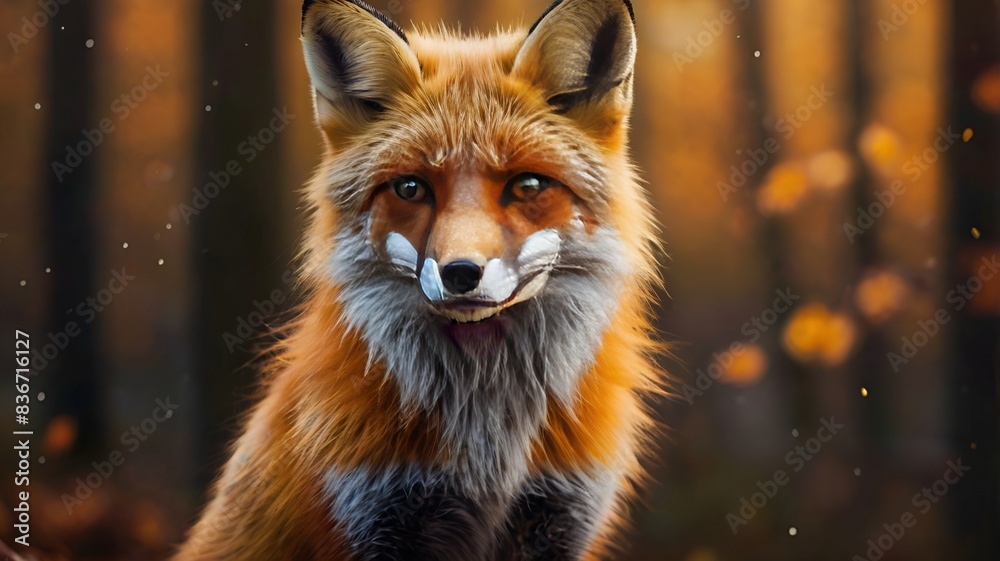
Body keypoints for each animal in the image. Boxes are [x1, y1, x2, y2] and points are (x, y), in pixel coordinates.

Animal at [173, 0, 661, 559]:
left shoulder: (558, 516)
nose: (461, 273)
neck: (489, 449)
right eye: (411, 188)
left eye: (528, 185)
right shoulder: (371, 511)